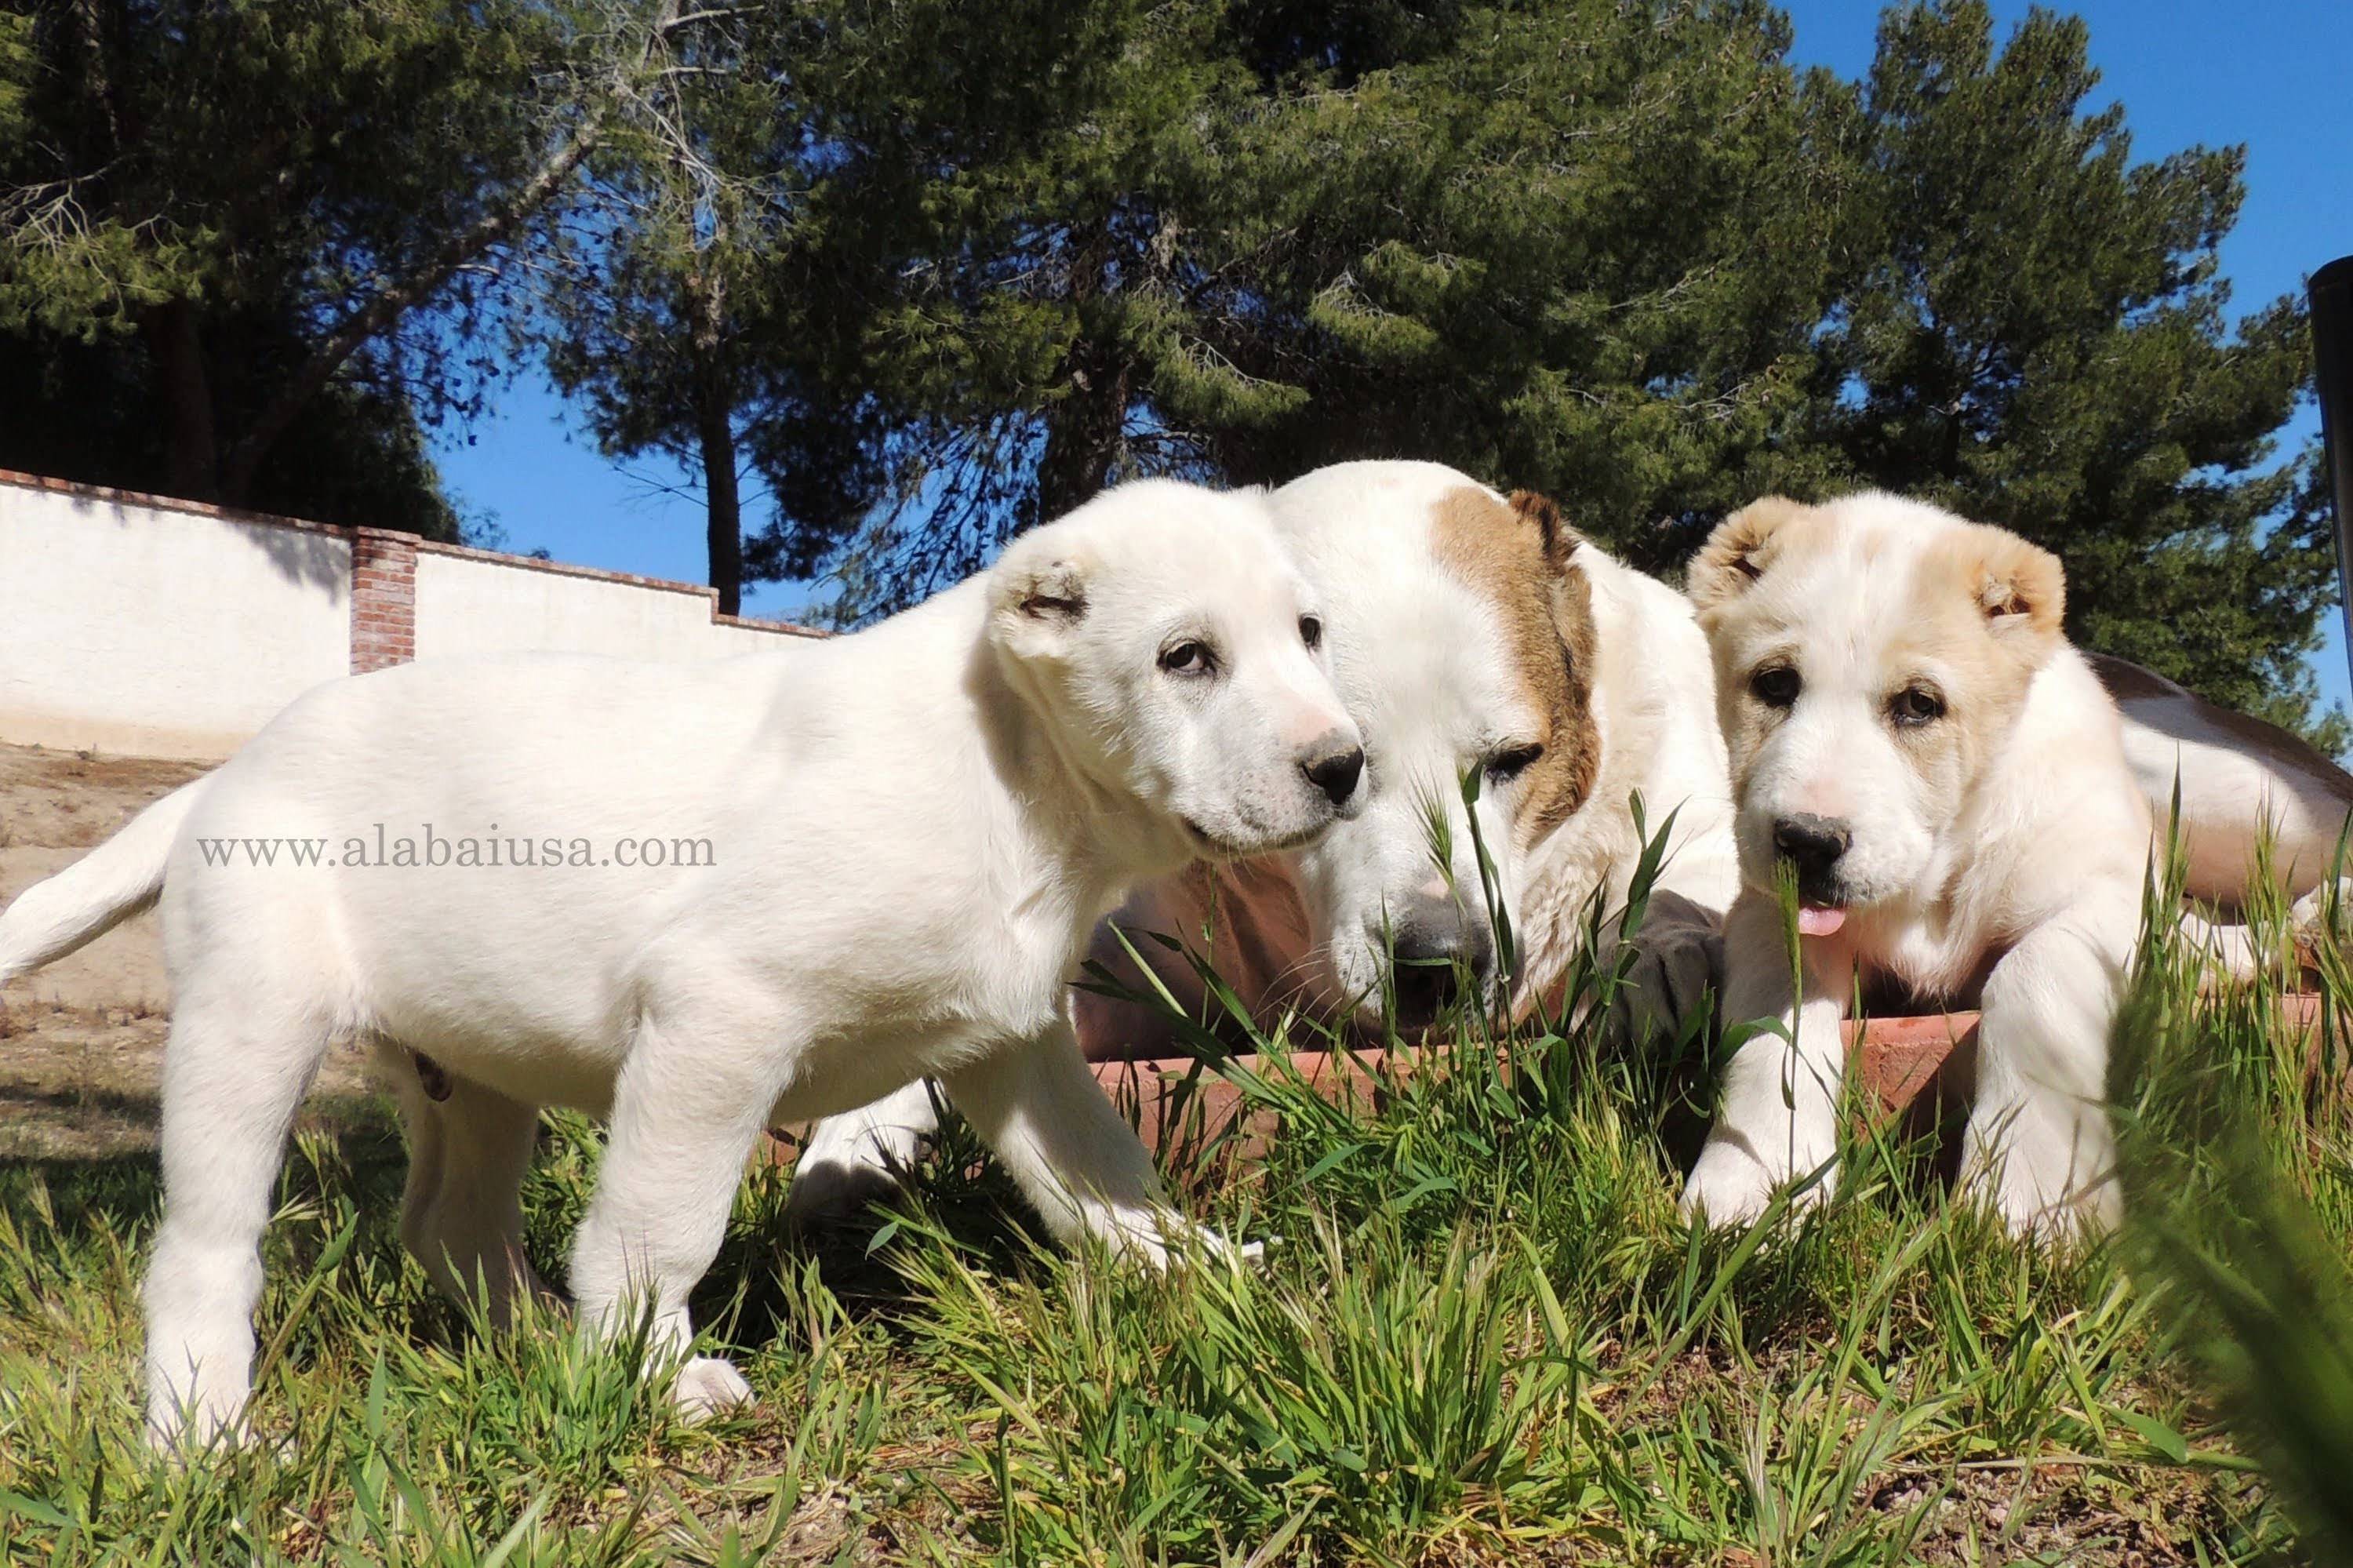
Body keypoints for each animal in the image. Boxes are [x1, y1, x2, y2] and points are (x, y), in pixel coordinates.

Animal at [0, 475, 1365, 1440]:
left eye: (1310, 632)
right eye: (1186, 656)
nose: (1346, 766)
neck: (1019, 772)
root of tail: (220, 777)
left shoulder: (1015, 1041)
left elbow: (1103, 1176)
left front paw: (1197, 1272)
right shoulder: (722, 1015)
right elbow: (664, 1226)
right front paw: (653, 1371)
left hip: (473, 1074)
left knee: (448, 1224)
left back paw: (543, 1351)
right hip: (252, 1026)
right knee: (203, 1249)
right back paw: (208, 1442)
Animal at [1675, 489, 2155, 1233]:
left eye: (1919, 704)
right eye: (1776, 684)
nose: (1807, 842)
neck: (1933, 881)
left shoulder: (2103, 889)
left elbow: (2031, 980)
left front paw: (2032, 1201)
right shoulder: (1768, 912)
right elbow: (1774, 1022)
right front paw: (1755, 1184)